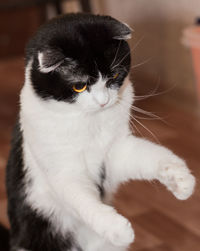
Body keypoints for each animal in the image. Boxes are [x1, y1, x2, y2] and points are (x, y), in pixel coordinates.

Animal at [4, 13, 195, 251]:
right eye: (79, 86)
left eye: (114, 75)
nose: (104, 101)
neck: (91, 122)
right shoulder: (63, 170)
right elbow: (83, 200)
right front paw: (117, 229)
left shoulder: (116, 154)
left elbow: (151, 154)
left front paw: (182, 180)